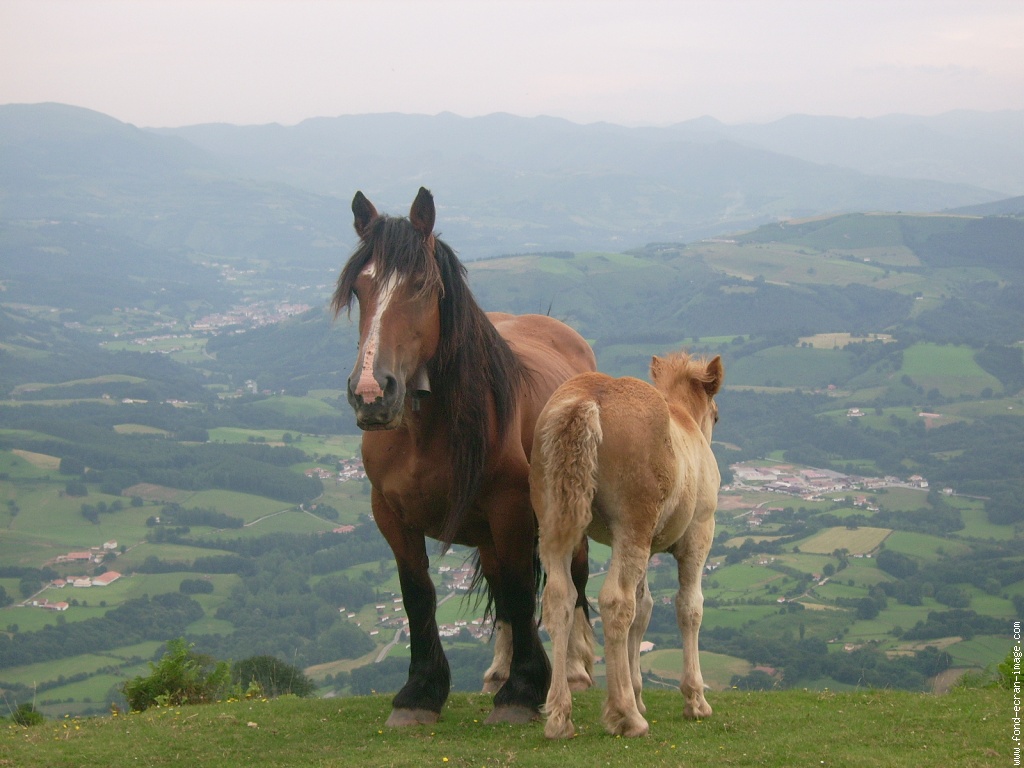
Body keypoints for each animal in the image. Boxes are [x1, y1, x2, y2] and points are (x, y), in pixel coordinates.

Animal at [332, 187, 597, 726]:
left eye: (421, 285)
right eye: (360, 289)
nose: (371, 393)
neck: (423, 432)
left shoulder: (511, 510)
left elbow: (521, 589)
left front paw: (523, 690)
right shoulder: (390, 515)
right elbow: (419, 594)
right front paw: (420, 693)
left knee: (573, 580)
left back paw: (575, 671)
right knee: (500, 587)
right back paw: (499, 670)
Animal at [530, 351, 724, 739]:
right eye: (716, 415)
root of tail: (587, 399)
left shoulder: (648, 548)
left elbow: (644, 608)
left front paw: (638, 692)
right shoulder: (698, 533)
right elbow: (689, 607)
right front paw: (695, 700)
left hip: (555, 525)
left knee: (559, 598)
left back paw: (560, 716)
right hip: (632, 527)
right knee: (615, 601)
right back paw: (626, 716)